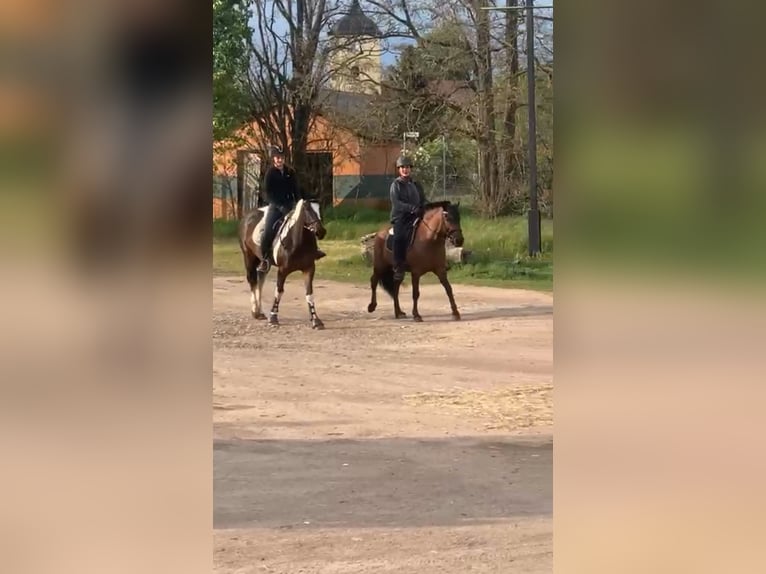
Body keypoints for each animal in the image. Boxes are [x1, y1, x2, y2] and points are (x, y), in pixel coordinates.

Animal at [237, 200, 328, 330]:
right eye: (307, 210)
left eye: (320, 209)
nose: (321, 231)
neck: (297, 243)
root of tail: (248, 216)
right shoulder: (283, 270)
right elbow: (279, 291)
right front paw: (273, 318)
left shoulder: (309, 269)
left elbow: (309, 294)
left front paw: (316, 320)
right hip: (248, 256)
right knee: (253, 280)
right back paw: (255, 311)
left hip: (263, 262)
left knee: (260, 280)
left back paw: (260, 312)